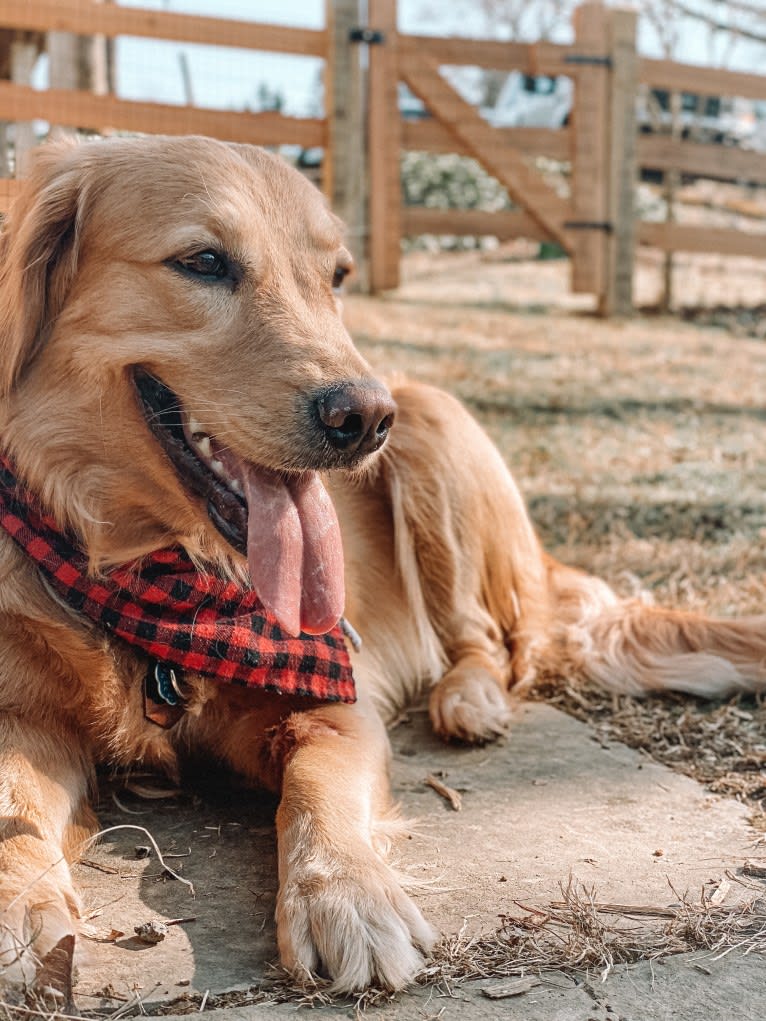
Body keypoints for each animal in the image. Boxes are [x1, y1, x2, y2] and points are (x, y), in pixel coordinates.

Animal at [1, 133, 766, 996]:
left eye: (336, 278)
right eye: (203, 261)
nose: (362, 418)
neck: (160, 575)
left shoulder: (338, 699)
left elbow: (314, 791)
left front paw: (347, 896)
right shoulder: (25, 719)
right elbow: (10, 809)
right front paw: (20, 911)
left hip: (433, 431)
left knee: (493, 640)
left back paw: (468, 699)